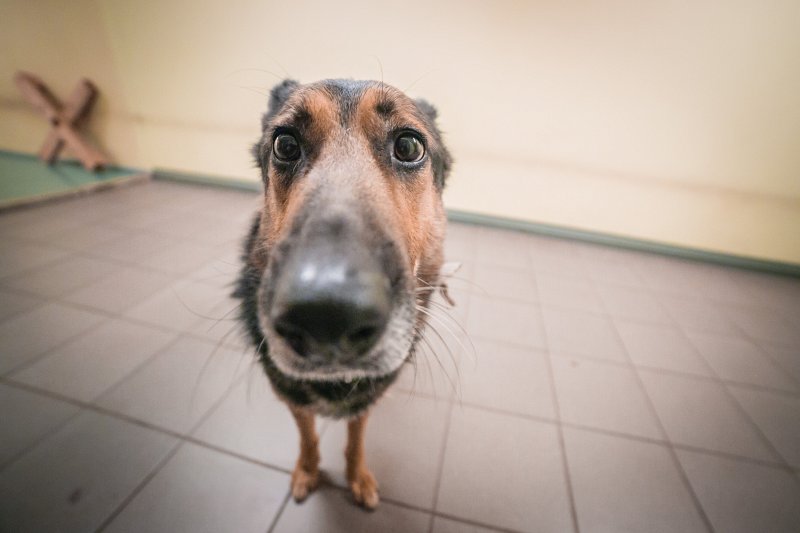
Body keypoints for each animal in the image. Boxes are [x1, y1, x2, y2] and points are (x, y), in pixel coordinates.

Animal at [234, 78, 454, 508]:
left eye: (408, 146)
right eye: (285, 145)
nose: (326, 316)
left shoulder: (365, 402)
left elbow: (356, 438)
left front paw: (358, 477)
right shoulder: (293, 398)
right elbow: (307, 438)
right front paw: (308, 470)